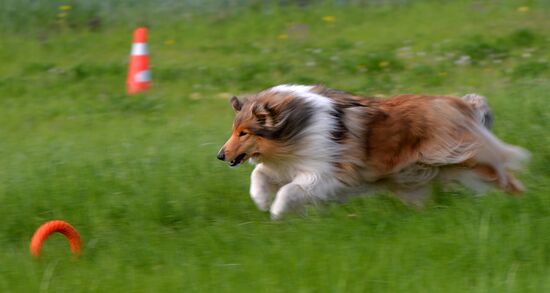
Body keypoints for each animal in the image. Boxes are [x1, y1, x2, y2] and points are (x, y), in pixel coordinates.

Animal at [217, 83, 532, 218]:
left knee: (506, 179)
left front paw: (276, 212)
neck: (297, 126)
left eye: (244, 133)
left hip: (465, 159)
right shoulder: (287, 165)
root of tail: (462, 103)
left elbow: (287, 190)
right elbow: (259, 174)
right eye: (234, 130)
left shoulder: (324, 174)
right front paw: (260, 200)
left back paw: (519, 204)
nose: (220, 155)